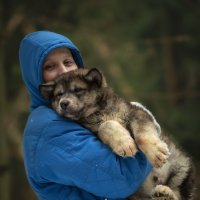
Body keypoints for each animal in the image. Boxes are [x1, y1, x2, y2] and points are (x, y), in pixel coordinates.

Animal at [39, 68, 195, 199]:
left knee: (179, 193)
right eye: (59, 94)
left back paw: (165, 192)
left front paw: (155, 152)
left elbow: (142, 134)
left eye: (78, 90)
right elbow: (106, 126)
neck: (97, 112)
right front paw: (125, 144)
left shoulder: (136, 112)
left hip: (180, 164)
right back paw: (162, 194)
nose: (63, 103)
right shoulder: (94, 132)